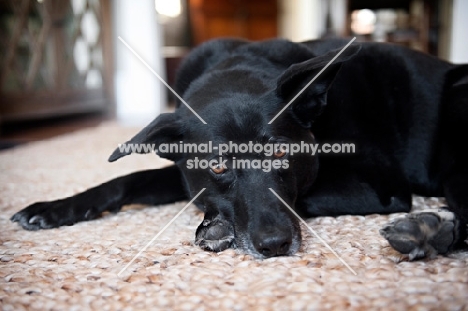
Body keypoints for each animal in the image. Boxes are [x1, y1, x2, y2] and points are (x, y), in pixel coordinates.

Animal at [11, 37, 468, 260]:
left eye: (282, 156)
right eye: (217, 167)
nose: (275, 246)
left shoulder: (380, 187)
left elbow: (303, 199)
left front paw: (216, 225)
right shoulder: (186, 171)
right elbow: (131, 179)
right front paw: (57, 207)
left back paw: (428, 231)